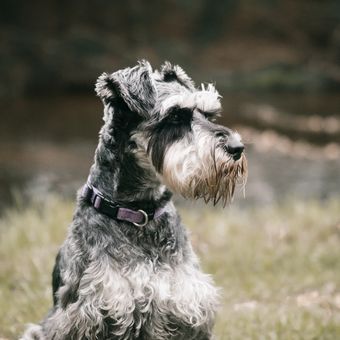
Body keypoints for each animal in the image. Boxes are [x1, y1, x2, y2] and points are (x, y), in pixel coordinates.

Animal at [21, 61, 247, 340]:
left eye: (209, 115)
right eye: (175, 115)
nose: (237, 147)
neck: (140, 212)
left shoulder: (187, 310)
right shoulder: (87, 315)